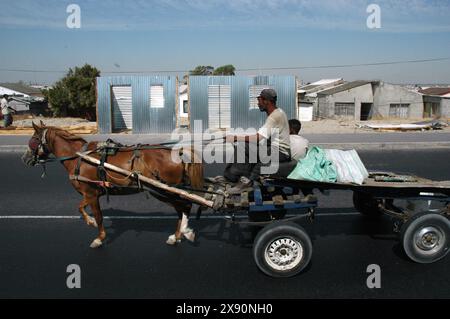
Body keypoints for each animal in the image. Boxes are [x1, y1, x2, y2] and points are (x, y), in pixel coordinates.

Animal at [22, 121, 203, 249]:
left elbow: (95, 214)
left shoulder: (91, 193)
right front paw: (92, 224)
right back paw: (176, 236)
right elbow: (81, 208)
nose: (25, 158)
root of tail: (179, 152)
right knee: (181, 209)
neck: (80, 157)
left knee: (185, 207)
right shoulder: (92, 193)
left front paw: (98, 235)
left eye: (33, 140)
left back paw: (184, 232)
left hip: (163, 190)